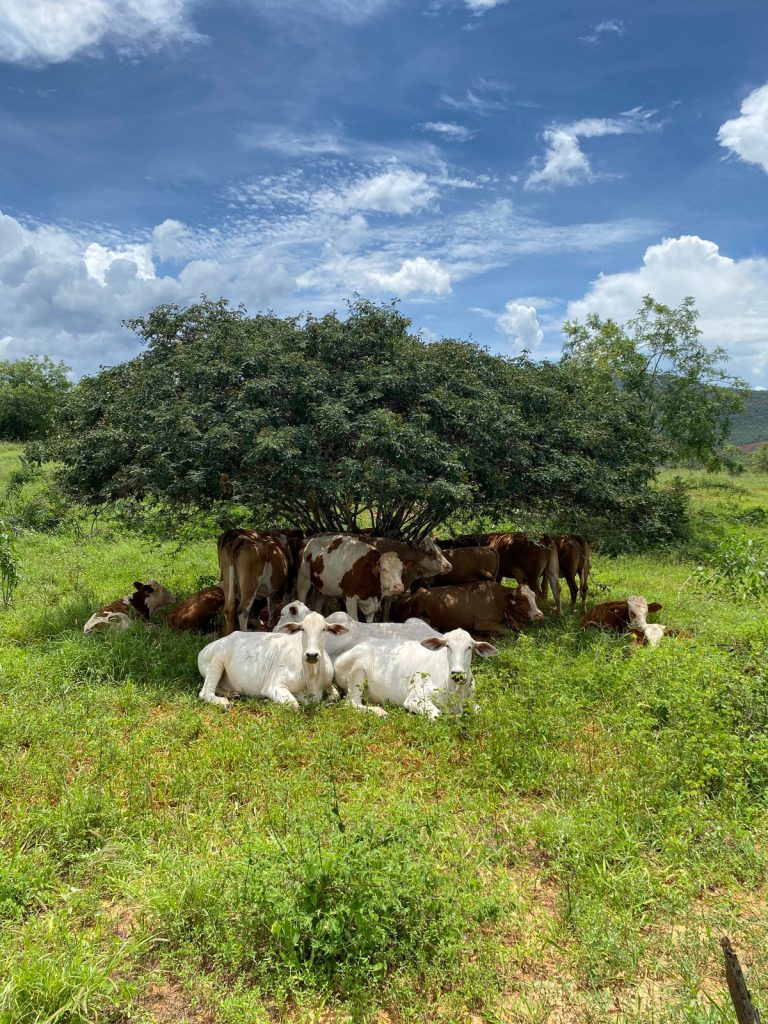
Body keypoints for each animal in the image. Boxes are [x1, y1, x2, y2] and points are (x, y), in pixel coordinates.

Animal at [197, 611, 348, 709]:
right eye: (302, 629)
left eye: (324, 629)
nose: (312, 655)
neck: (312, 677)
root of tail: (205, 649)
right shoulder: (273, 685)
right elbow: (294, 704)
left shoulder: (328, 683)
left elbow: (335, 696)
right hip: (215, 663)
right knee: (205, 692)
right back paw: (224, 702)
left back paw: (233, 694)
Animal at [334, 629, 499, 718]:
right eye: (447, 646)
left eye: (469, 647)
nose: (457, 673)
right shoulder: (414, 698)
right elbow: (437, 715)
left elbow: (481, 710)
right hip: (358, 671)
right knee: (352, 702)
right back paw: (380, 711)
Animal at [393, 580, 543, 635]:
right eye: (523, 598)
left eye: (534, 596)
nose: (539, 615)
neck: (497, 599)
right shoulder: (481, 623)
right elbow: (508, 630)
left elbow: (516, 625)